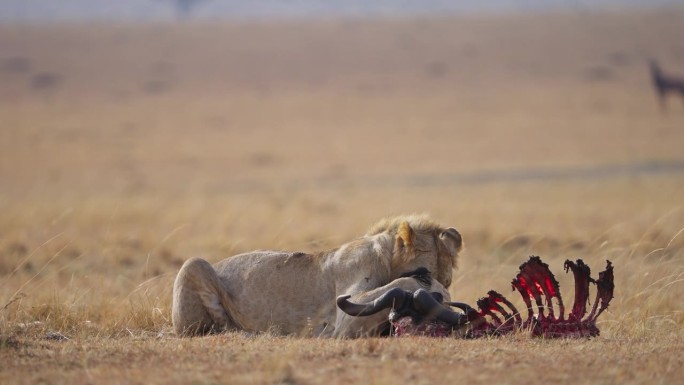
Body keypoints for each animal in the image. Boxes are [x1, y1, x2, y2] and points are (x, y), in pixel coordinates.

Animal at [171, 214, 462, 338]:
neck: (387, 257)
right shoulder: (345, 318)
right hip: (193, 264)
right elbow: (401, 282)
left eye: (449, 280)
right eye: (424, 273)